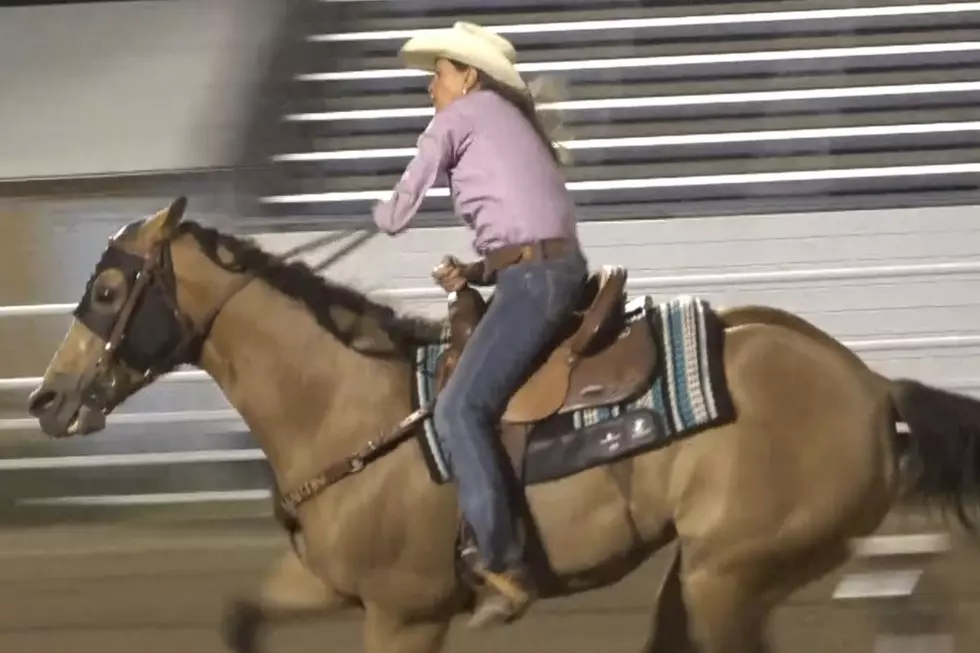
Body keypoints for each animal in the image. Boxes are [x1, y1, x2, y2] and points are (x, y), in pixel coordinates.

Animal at [24, 195, 980, 652]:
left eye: (107, 289)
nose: (47, 400)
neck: (345, 402)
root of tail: (871, 386)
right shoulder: (331, 583)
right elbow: (238, 618)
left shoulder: (405, 613)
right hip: (714, 575)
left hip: (732, 573)